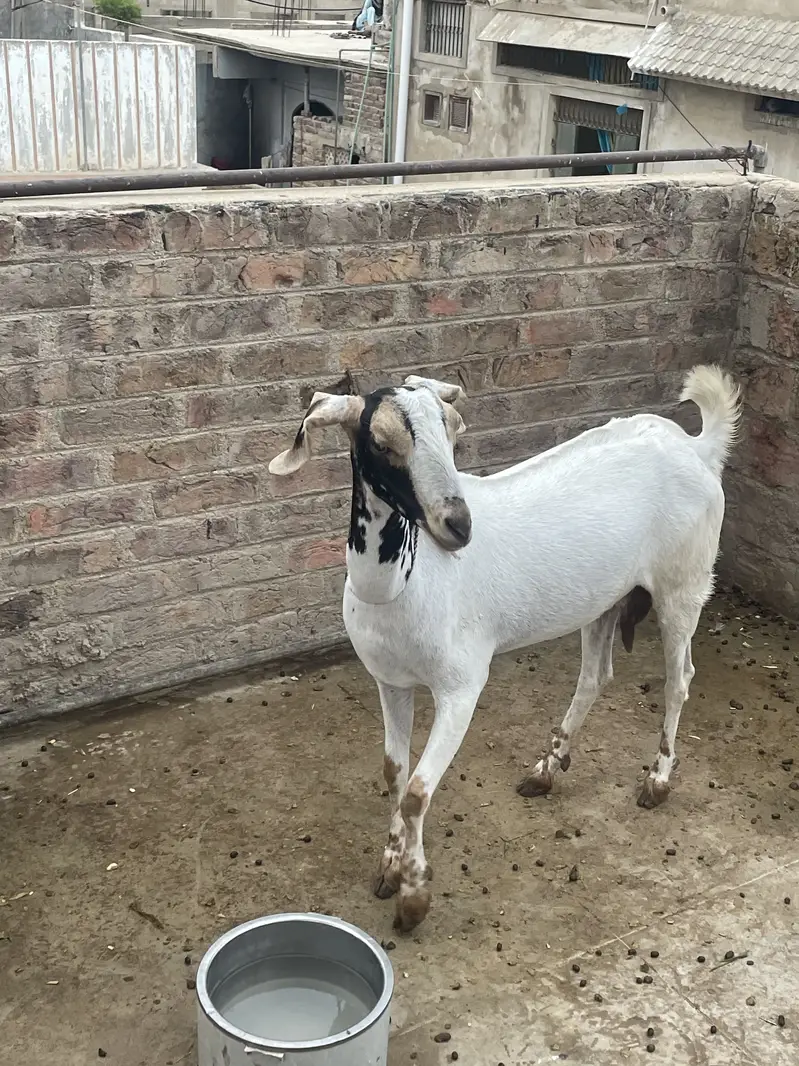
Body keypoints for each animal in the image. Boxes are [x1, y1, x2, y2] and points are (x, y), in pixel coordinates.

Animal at [269, 366, 741, 933]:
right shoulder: (390, 681)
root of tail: (696, 447)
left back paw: (657, 781)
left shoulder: (462, 686)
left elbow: (418, 793)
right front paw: (388, 868)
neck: (403, 582)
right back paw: (546, 769)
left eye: (452, 430)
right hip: (604, 598)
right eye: (381, 443)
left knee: (679, 677)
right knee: (595, 675)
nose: (458, 525)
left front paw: (413, 897)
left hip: (683, 584)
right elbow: (394, 775)